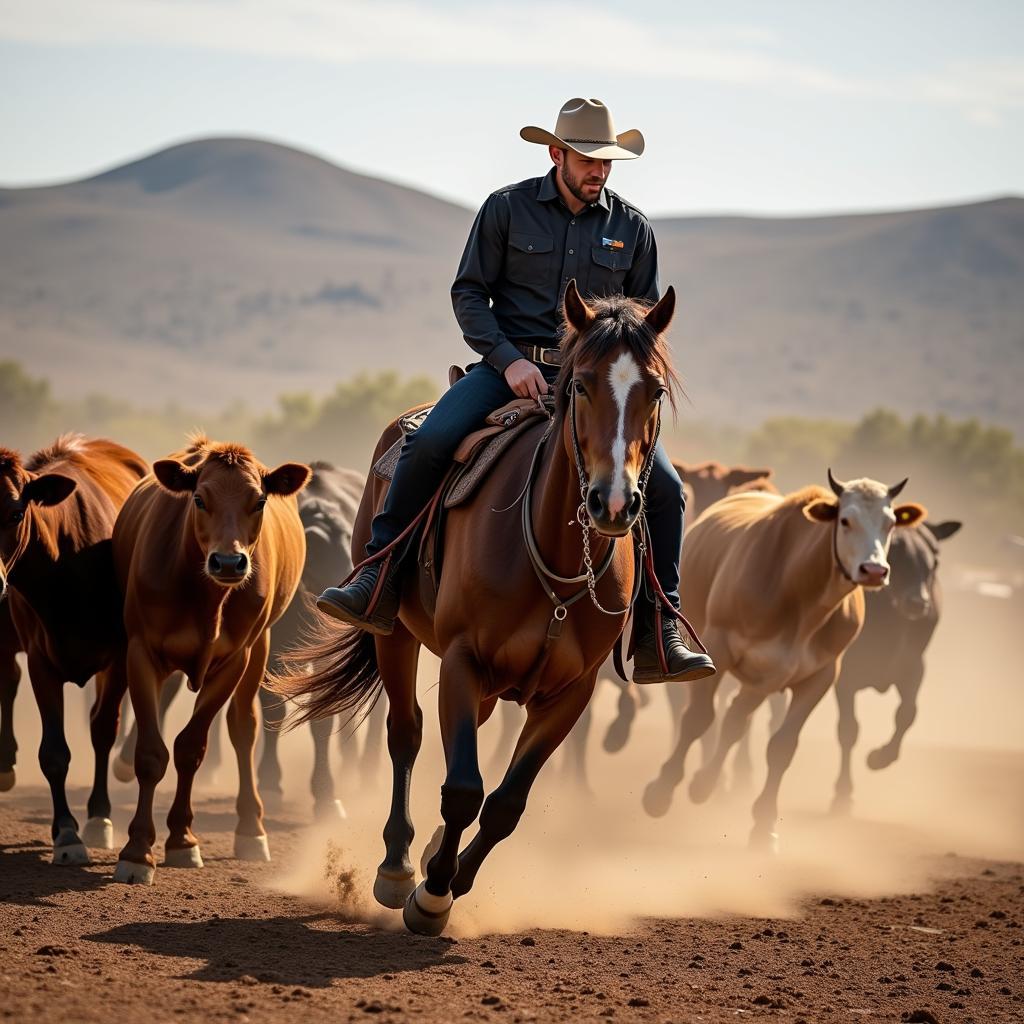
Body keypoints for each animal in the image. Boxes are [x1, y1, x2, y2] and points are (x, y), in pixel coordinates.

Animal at [0, 436, 148, 860]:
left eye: (16, 512)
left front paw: (98, 819)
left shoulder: (118, 657)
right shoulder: (40, 659)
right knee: (8, 676)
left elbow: (102, 729)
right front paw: (66, 832)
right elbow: (53, 752)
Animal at [112, 436, 309, 884]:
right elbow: (151, 753)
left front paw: (182, 840)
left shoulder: (234, 659)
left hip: (261, 646)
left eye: (259, 500)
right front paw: (137, 851)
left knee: (243, 728)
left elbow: (191, 747)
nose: (229, 562)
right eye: (200, 499)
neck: (207, 597)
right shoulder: (141, 651)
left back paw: (252, 829)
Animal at [276, 282, 684, 937]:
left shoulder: (571, 691)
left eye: (656, 390)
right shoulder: (462, 661)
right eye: (581, 385)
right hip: (395, 636)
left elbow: (505, 805)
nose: (614, 503)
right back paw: (398, 866)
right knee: (406, 733)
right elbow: (464, 787)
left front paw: (451, 876)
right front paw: (431, 894)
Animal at [647, 471, 929, 847]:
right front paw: (660, 792)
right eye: (845, 520)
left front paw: (764, 825)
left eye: (890, 523)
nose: (873, 570)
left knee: (737, 719)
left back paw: (705, 784)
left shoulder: (820, 676)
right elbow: (698, 719)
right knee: (721, 717)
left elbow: (782, 746)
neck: (800, 593)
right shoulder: (719, 647)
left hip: (765, 678)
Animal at [831, 520, 958, 815]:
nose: (918, 602)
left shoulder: (913, 667)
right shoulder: (845, 676)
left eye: (934, 559)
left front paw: (879, 758)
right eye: (897, 554)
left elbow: (907, 714)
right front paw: (843, 794)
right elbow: (848, 730)